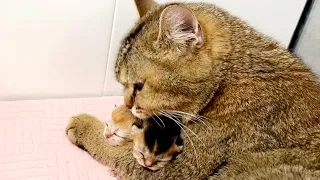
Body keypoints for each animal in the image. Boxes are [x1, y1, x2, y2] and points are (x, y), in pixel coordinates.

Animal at [65, 0, 320, 179]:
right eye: (123, 84)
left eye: (139, 86)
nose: (128, 104)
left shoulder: (169, 165)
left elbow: (114, 150)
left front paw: (86, 125)